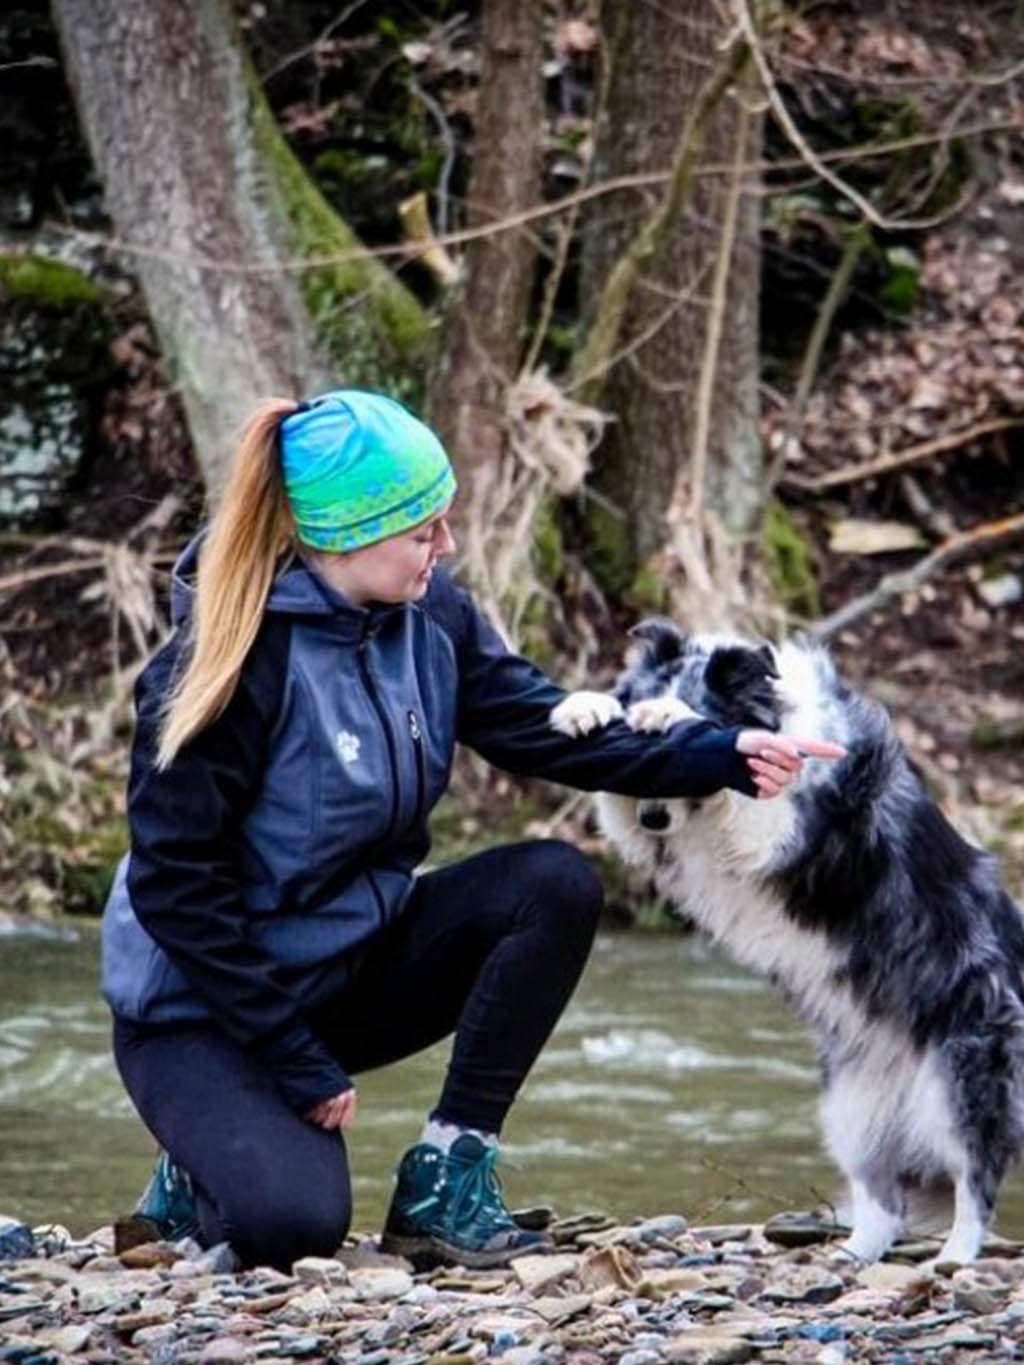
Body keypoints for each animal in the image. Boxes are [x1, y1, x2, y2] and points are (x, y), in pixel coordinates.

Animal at [554, 625, 1024, 1261]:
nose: (653, 823)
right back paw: (854, 1256)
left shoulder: (786, 818)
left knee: (974, 1183)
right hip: (852, 1109)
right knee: (884, 1202)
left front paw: (667, 712)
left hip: (961, 1079)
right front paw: (588, 705)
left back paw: (953, 1258)